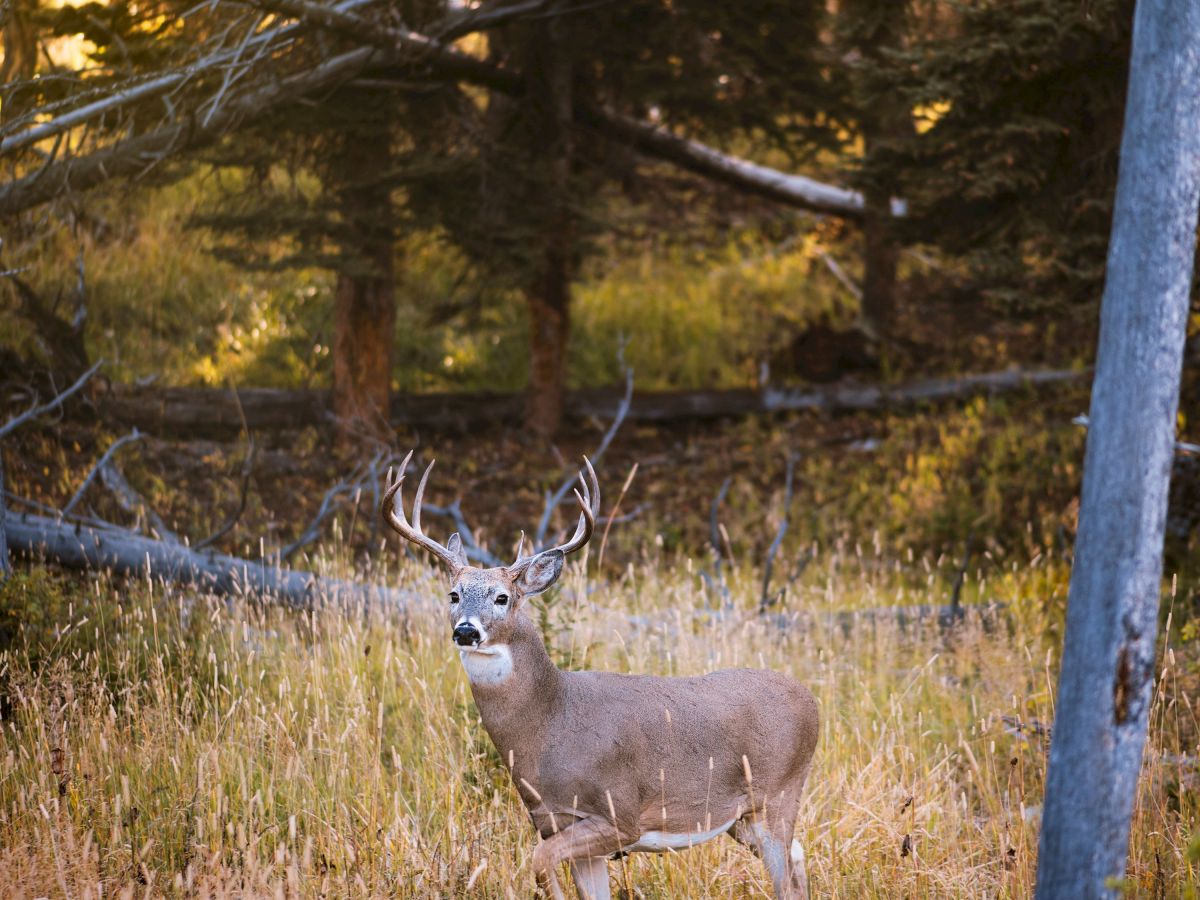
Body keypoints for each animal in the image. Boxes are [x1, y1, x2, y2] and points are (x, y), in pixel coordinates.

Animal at [379, 451, 820, 900]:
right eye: (453, 594)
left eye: (502, 598)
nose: (466, 630)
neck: (550, 721)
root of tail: (811, 700)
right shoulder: (555, 821)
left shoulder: (619, 814)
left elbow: (539, 862)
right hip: (742, 818)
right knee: (800, 860)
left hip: (778, 793)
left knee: (787, 880)